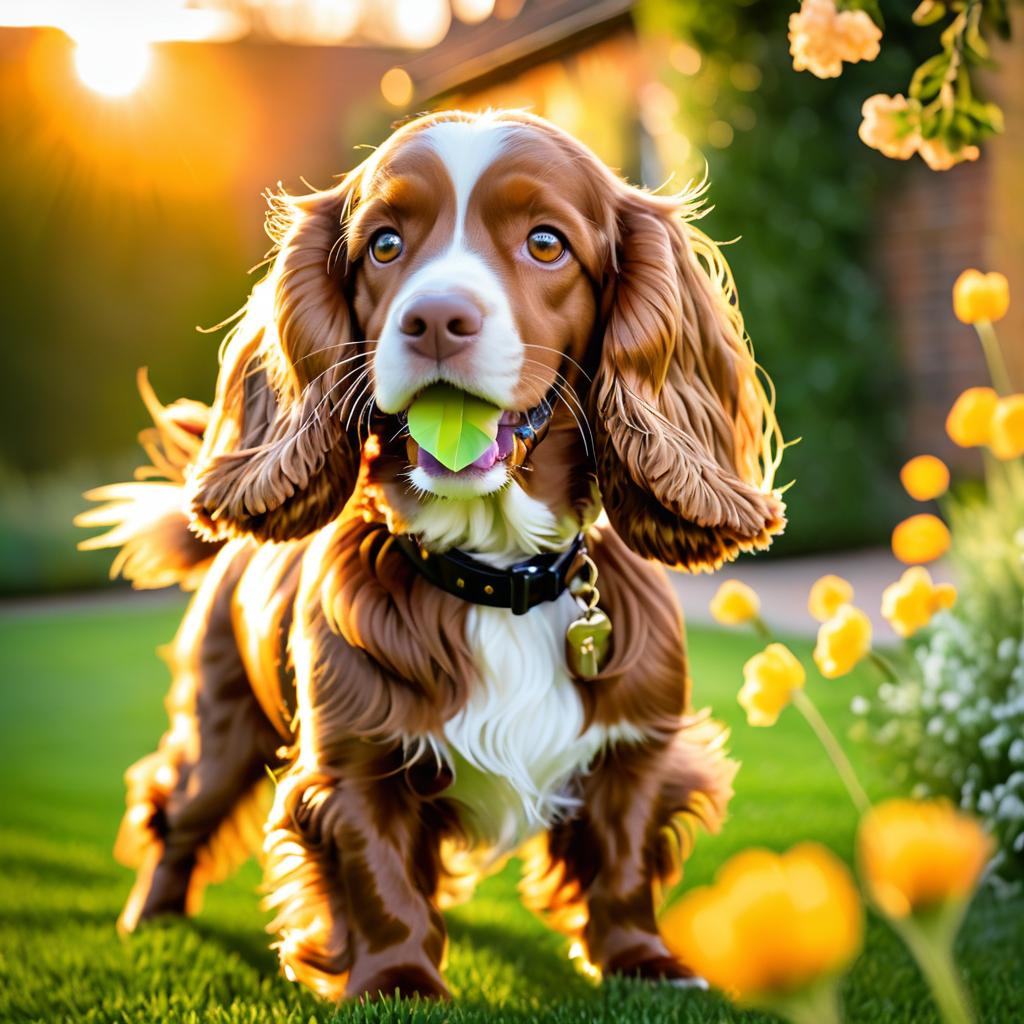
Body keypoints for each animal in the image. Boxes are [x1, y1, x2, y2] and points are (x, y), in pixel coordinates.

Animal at [81, 110, 782, 999]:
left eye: (546, 242)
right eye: (384, 244)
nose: (436, 320)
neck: (495, 571)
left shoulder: (635, 750)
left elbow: (621, 861)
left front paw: (642, 962)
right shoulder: (353, 761)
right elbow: (379, 877)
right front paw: (397, 981)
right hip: (223, 725)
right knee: (176, 812)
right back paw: (153, 917)